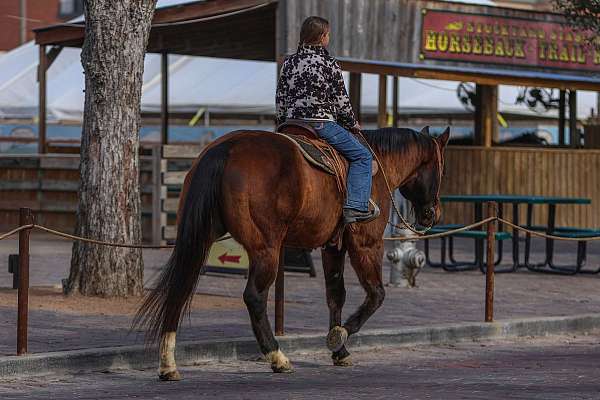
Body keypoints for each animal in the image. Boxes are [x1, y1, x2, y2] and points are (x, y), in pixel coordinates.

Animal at [134, 126, 448, 380]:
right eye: (441, 168)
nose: (432, 214)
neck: (376, 164)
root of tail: (226, 149)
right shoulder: (365, 243)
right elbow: (376, 295)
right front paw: (339, 336)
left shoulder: (333, 245)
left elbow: (336, 296)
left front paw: (340, 352)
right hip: (266, 249)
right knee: (254, 297)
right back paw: (278, 357)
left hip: (200, 239)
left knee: (180, 287)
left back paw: (168, 363)